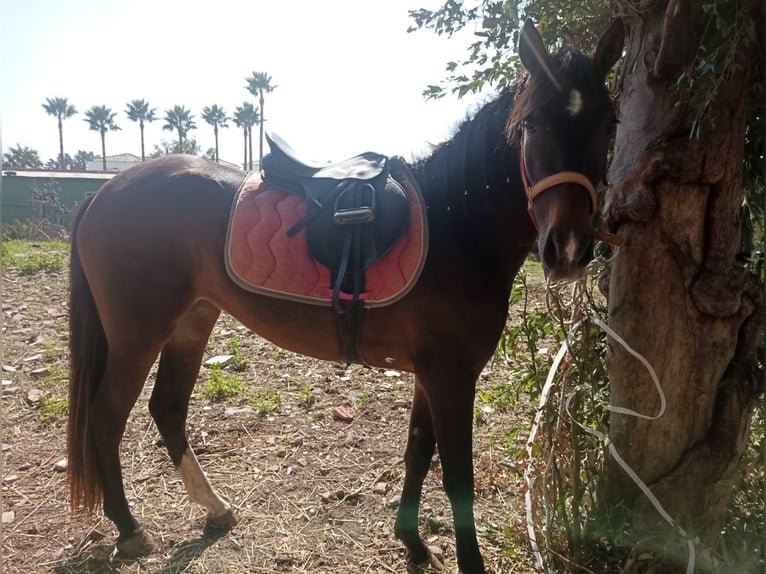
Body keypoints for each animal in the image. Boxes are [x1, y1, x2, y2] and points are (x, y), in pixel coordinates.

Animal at [67, 19, 624, 573]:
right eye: (531, 125)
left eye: (610, 124)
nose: (567, 249)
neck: (455, 225)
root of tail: (106, 190)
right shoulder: (451, 376)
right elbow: (456, 479)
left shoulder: (432, 373)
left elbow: (417, 453)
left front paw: (412, 542)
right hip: (139, 335)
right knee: (107, 416)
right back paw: (130, 530)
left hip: (192, 322)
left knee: (167, 409)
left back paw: (215, 509)